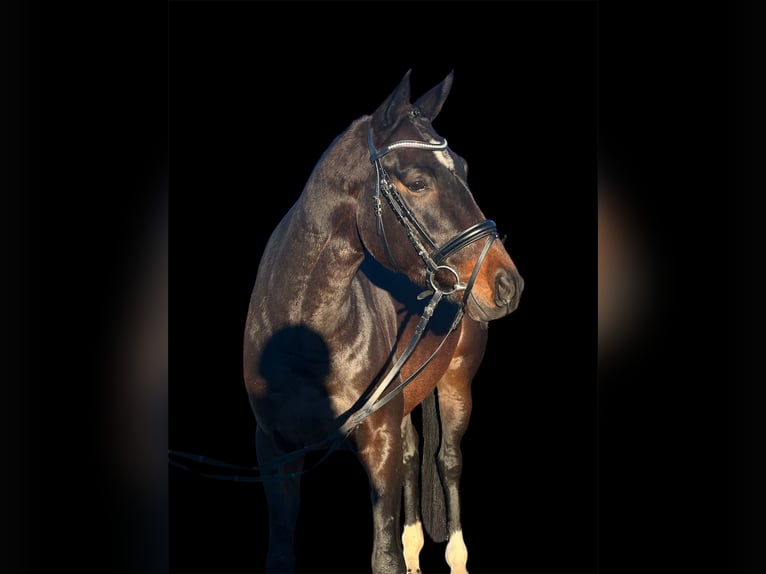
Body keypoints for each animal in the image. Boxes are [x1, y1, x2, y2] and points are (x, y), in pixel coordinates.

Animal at [242, 69, 524, 574]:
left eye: (464, 169)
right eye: (417, 182)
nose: (507, 283)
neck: (304, 334)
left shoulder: (379, 442)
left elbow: (385, 556)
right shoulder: (275, 452)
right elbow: (281, 553)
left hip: (455, 382)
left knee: (448, 461)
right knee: (414, 458)